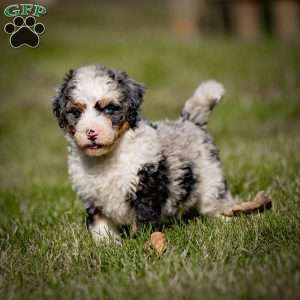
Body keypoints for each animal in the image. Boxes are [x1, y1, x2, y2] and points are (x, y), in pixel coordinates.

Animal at [52, 64, 272, 243]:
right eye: (76, 112)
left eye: (110, 109)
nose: (91, 132)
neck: (108, 158)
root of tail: (190, 121)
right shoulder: (93, 199)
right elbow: (101, 228)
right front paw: (108, 246)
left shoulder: (146, 188)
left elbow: (144, 220)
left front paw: (141, 242)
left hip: (211, 178)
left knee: (217, 201)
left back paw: (227, 218)